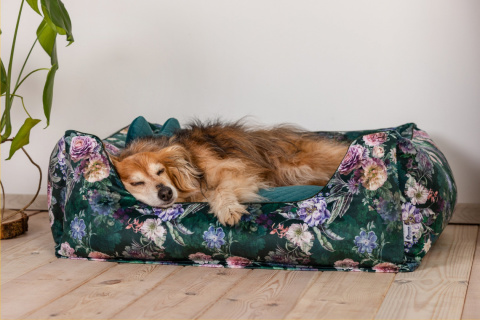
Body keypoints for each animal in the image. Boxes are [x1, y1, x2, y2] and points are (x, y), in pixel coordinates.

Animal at [110, 119, 346, 225]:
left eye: (160, 171)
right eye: (136, 183)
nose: (166, 193)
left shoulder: (235, 170)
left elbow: (217, 190)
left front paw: (228, 210)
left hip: (303, 165)